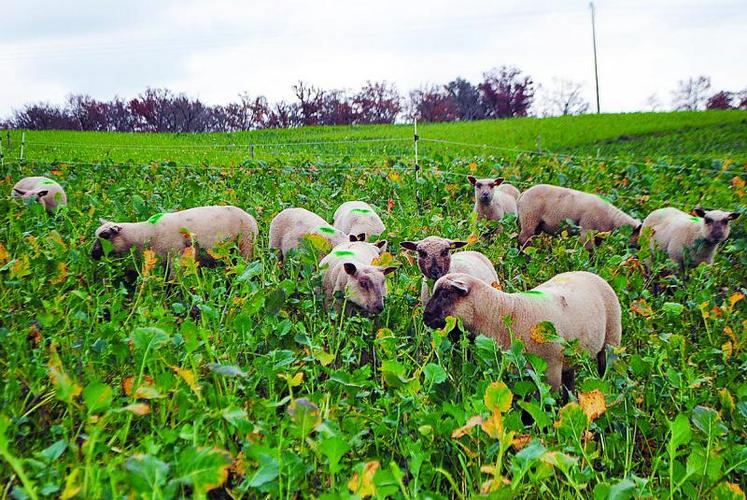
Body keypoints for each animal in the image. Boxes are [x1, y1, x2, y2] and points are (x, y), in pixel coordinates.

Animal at [424, 272, 624, 392]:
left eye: (445, 295)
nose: (425, 317)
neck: (504, 312)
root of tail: (592, 274)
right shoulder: (520, 370)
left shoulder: (549, 372)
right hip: (570, 358)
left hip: (611, 342)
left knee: (605, 371)